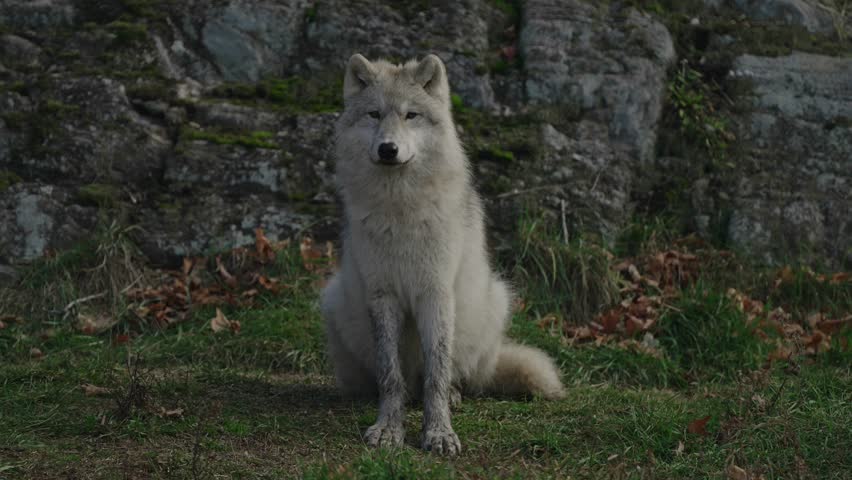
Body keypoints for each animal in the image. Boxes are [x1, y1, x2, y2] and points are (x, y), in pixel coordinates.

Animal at [320, 53, 565, 456]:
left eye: (411, 115)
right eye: (374, 114)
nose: (388, 149)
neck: (400, 211)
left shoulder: (435, 294)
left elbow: (436, 373)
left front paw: (438, 433)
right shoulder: (383, 295)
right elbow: (390, 375)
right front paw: (389, 429)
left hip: (492, 302)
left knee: (452, 377)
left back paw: (453, 394)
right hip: (333, 299)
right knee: (393, 381)